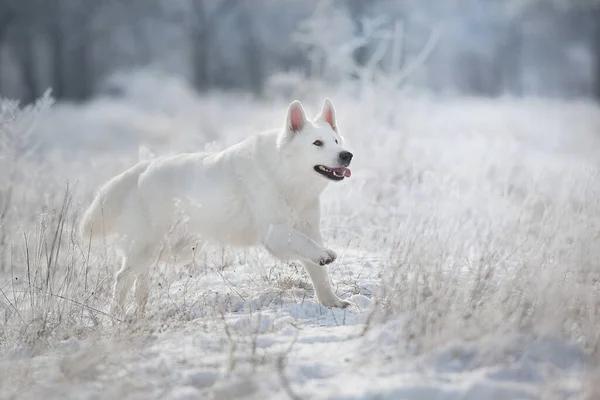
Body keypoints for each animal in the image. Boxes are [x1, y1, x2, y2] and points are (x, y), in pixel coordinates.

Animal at [79, 99, 352, 316]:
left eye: (336, 141)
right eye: (317, 143)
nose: (346, 155)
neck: (285, 176)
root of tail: (140, 170)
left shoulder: (309, 228)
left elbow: (319, 274)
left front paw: (332, 303)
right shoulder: (275, 233)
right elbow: (307, 246)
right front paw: (325, 255)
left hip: (165, 250)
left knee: (139, 280)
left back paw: (139, 313)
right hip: (149, 246)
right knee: (122, 277)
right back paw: (116, 317)